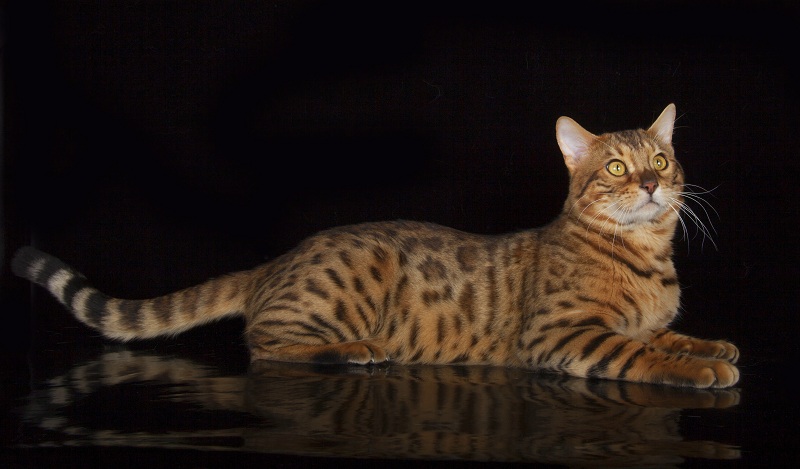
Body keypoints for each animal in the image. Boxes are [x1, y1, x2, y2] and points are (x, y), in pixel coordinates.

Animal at [12, 103, 740, 388]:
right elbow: (638, 353)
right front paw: (698, 370)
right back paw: (355, 350)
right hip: (346, 284)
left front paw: (712, 347)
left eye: (661, 159)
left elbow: (667, 334)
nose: (650, 182)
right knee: (263, 344)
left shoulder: (644, 320)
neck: (646, 257)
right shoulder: (561, 335)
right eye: (616, 167)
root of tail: (276, 262)